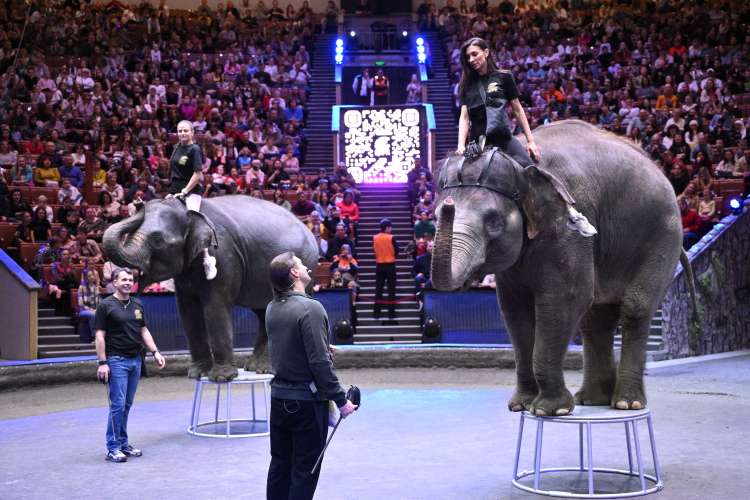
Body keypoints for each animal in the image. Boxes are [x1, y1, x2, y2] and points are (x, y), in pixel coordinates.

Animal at [103, 196, 320, 382]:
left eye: (157, 240)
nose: (137, 202)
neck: (187, 210)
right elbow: (187, 311)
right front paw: (197, 374)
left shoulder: (223, 254)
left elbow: (215, 306)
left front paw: (221, 377)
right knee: (262, 312)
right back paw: (253, 366)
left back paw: (264, 369)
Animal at [432, 122, 704, 418]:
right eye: (435, 216)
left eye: (493, 221)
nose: (448, 205)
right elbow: (514, 310)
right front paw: (521, 406)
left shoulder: (567, 229)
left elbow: (566, 299)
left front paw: (549, 410)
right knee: (596, 318)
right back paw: (593, 400)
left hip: (663, 237)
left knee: (635, 307)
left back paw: (626, 403)